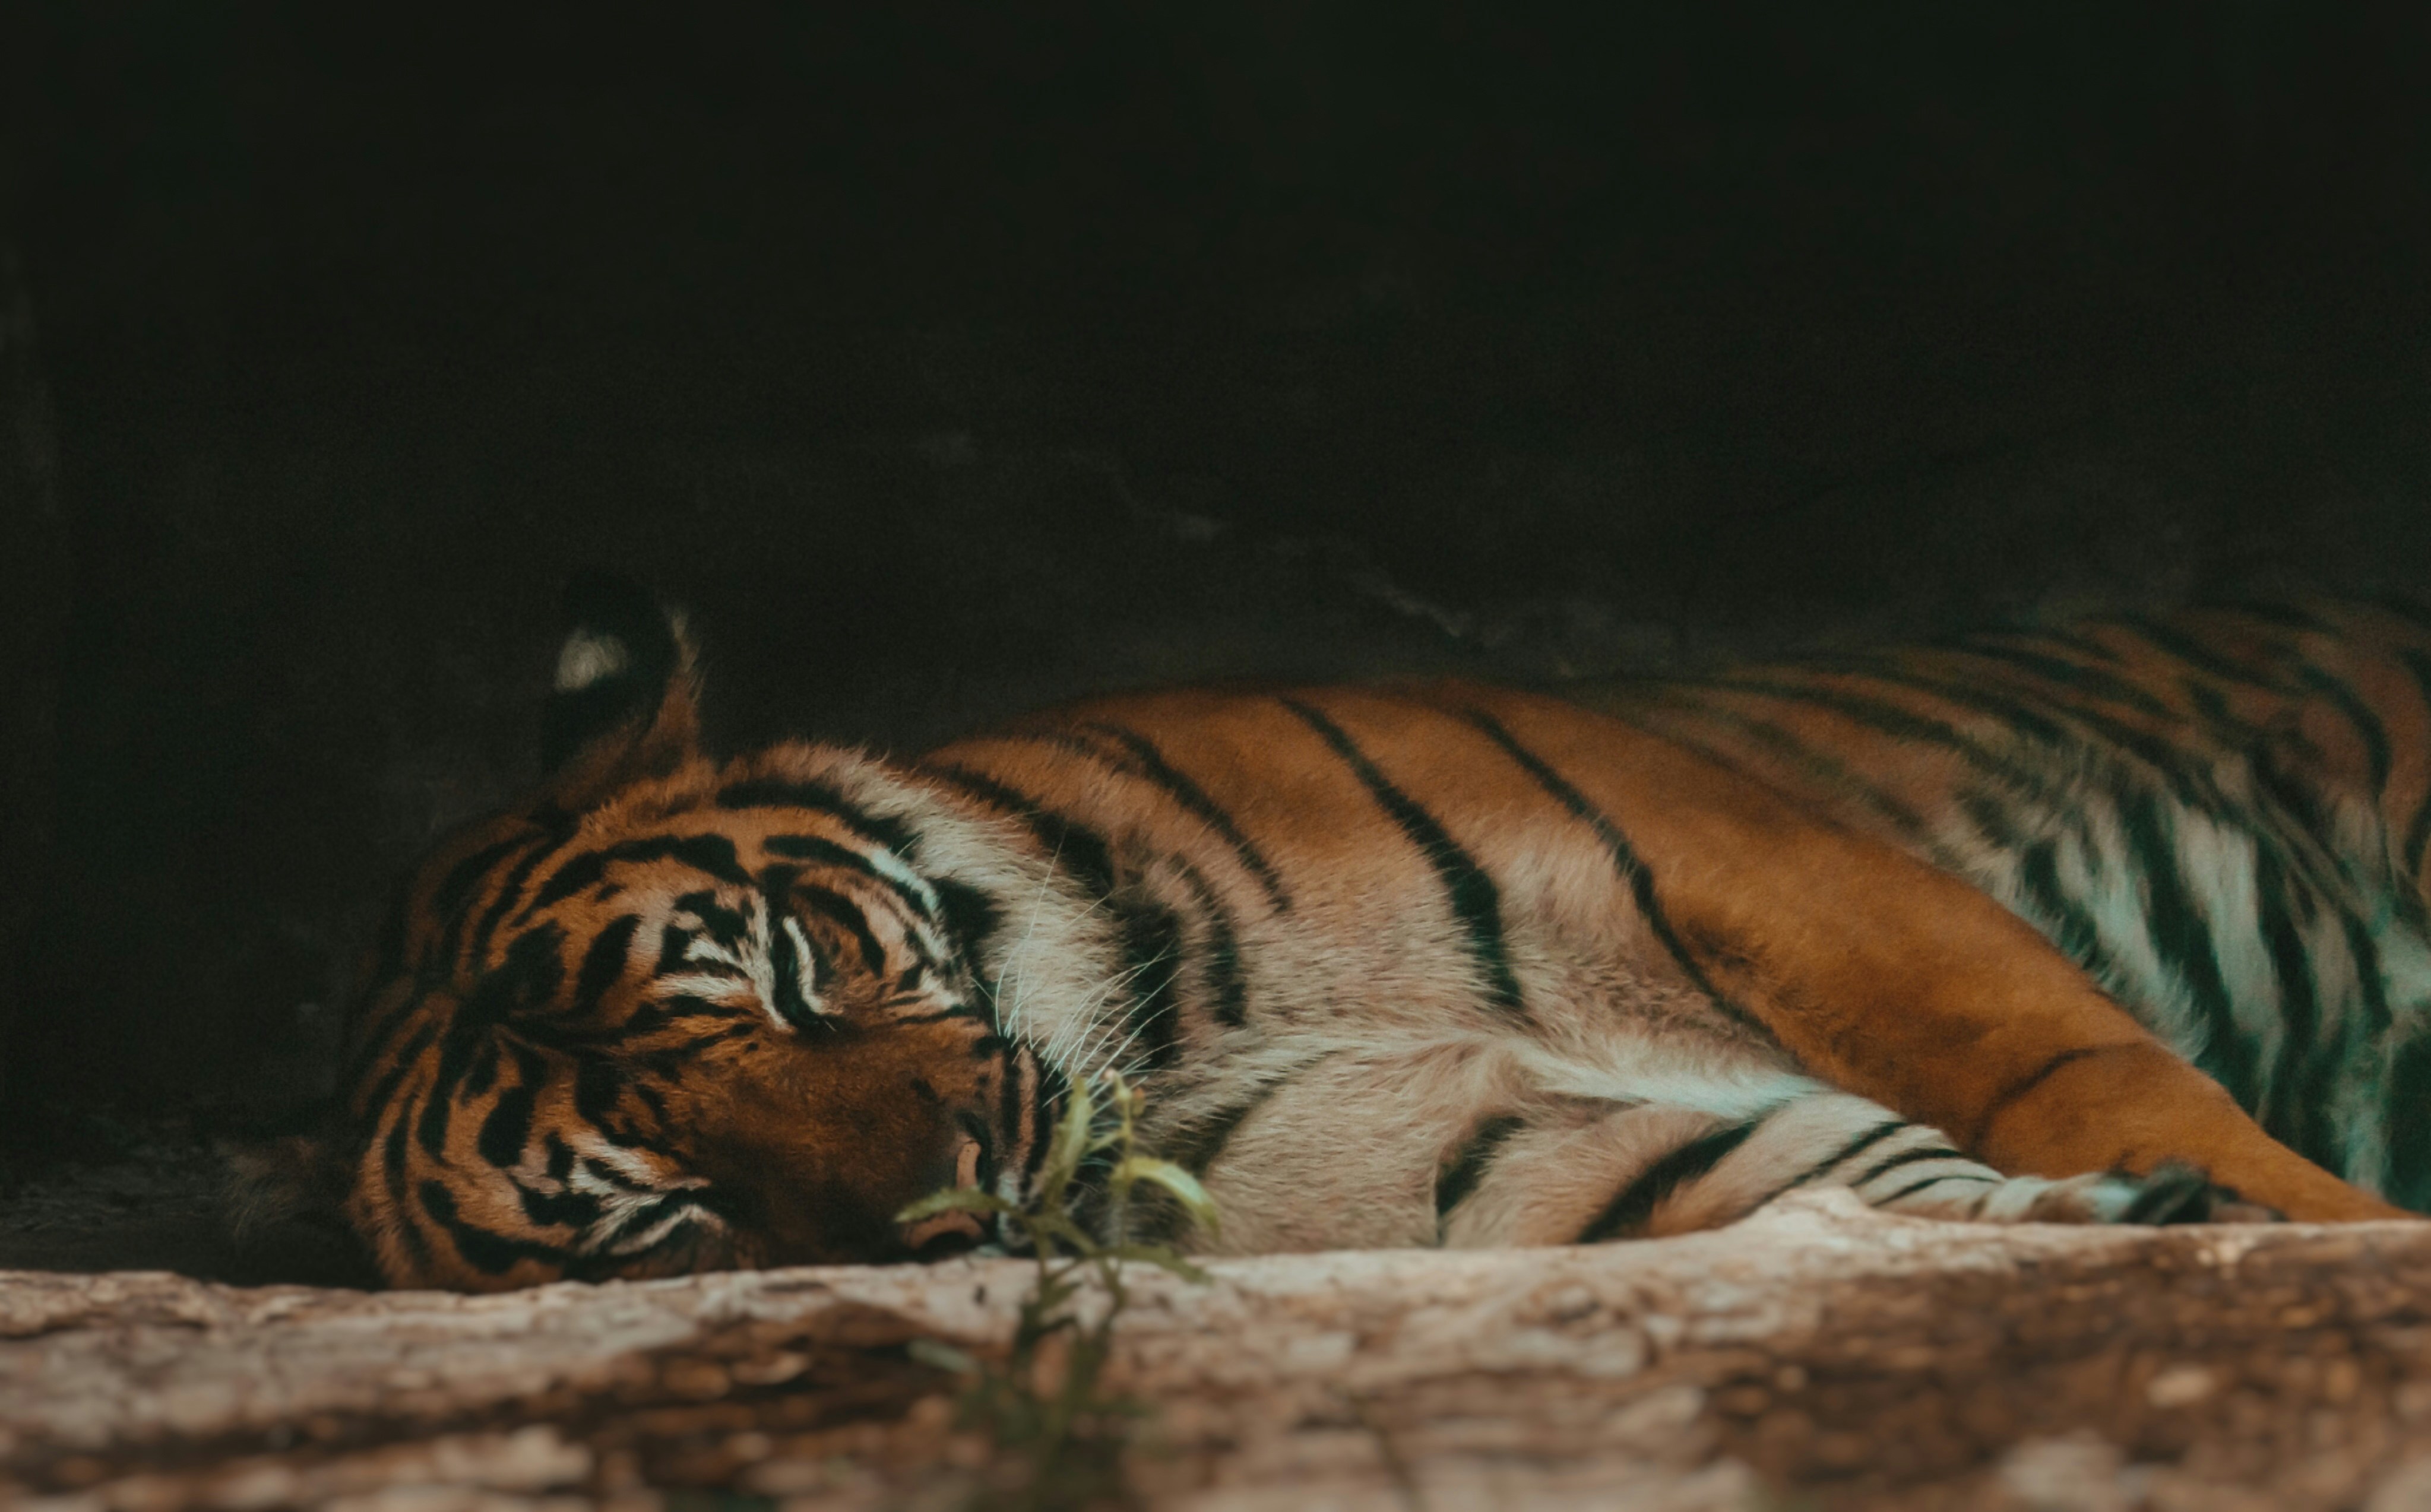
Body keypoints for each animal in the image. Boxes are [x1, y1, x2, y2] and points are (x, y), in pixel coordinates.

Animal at [289, 579, 2431, 1291]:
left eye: (791, 973)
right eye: (672, 1219)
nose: (955, 1181)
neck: (1191, 1043)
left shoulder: (1794, 884)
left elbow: (2085, 1077)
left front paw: (2316, 1230)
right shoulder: (1516, 1155)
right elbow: (1824, 1193)